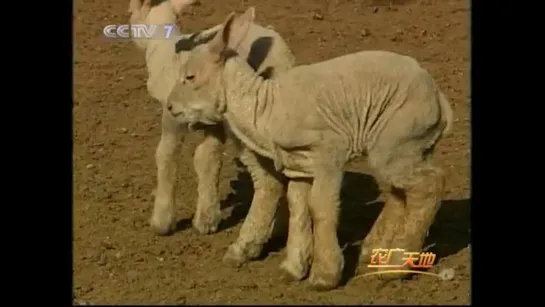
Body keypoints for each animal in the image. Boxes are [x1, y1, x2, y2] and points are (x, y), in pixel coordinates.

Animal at [127, 0, 294, 253]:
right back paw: (279, 230)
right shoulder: (212, 123)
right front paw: (207, 218)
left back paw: (251, 243)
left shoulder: (172, 116)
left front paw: (162, 222)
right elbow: (207, 159)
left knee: (269, 181)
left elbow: (166, 157)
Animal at [167, 6, 454, 292]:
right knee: (402, 190)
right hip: (409, 146)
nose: (170, 106)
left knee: (429, 185)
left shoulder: (329, 152)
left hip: (396, 138)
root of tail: (439, 98)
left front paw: (325, 275)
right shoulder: (298, 164)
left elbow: (320, 207)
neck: (265, 109)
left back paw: (396, 266)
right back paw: (375, 249)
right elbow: (298, 207)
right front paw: (293, 267)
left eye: (190, 76)